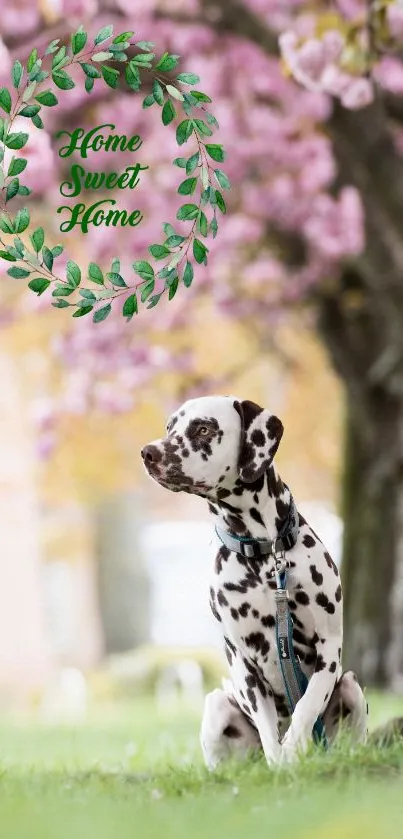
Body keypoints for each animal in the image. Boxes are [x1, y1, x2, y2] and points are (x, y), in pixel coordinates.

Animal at [142, 398, 370, 772]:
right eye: (169, 427)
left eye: (203, 428)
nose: (149, 452)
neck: (263, 554)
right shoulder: (243, 663)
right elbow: (269, 731)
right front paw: (280, 764)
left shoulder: (329, 650)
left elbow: (306, 706)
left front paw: (293, 749)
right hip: (217, 705)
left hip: (351, 687)